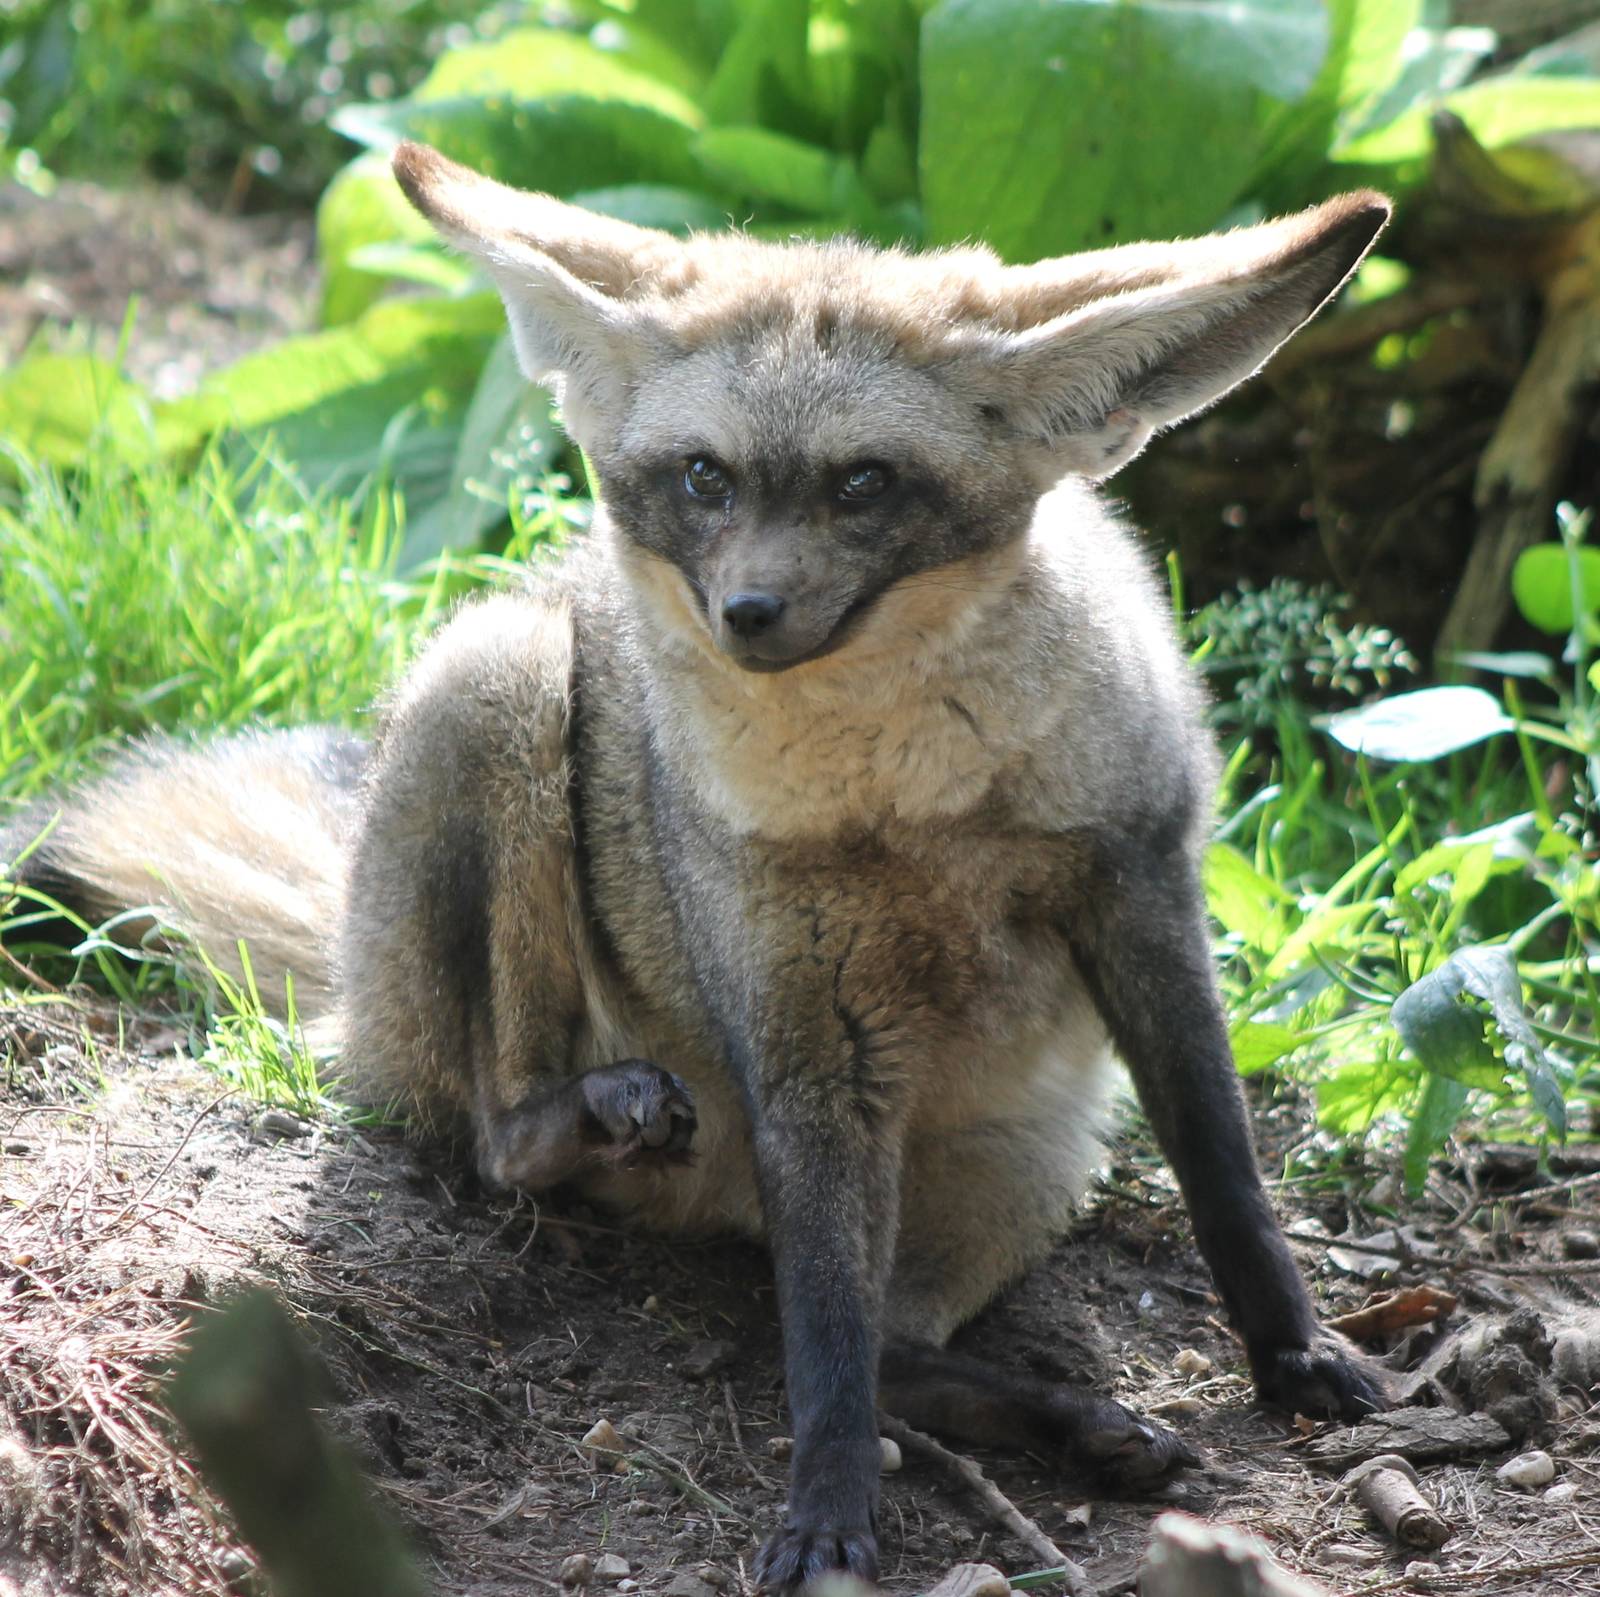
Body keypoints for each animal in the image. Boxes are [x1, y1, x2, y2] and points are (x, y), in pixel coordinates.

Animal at [1, 144, 1393, 1587]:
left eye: (863, 482)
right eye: (705, 477)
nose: (749, 616)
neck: (907, 800)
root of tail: (349, 980)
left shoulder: (1140, 890)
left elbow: (1224, 1172)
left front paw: (1298, 1354)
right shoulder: (801, 1020)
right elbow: (823, 1346)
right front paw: (827, 1512)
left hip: (1030, 1166)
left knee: (878, 1351)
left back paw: (1078, 1426)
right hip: (499, 677)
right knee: (521, 1156)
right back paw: (587, 1114)